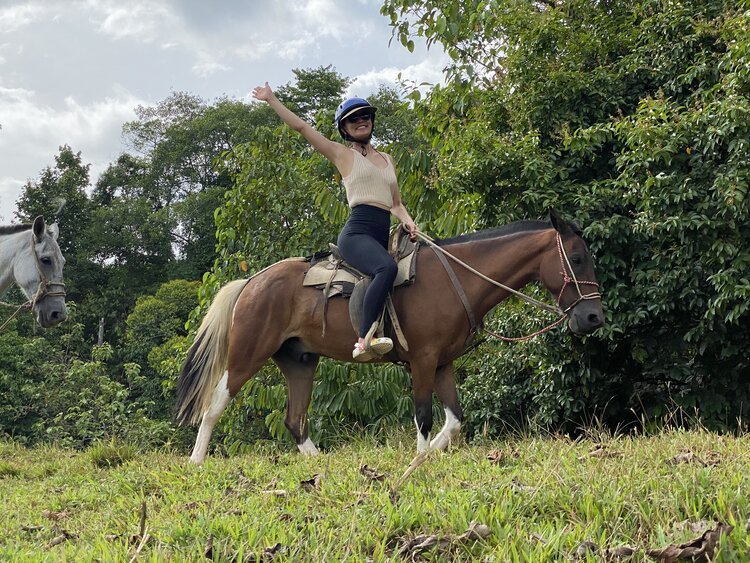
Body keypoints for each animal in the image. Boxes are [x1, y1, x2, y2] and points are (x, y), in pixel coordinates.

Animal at [175, 210, 604, 462]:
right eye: (577, 258)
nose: (593, 317)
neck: (457, 278)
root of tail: (251, 282)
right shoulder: (423, 360)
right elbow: (424, 414)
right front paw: (419, 459)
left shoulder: (443, 363)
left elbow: (454, 420)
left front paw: (430, 455)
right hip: (248, 353)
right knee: (214, 404)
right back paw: (197, 460)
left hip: (300, 361)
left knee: (295, 420)